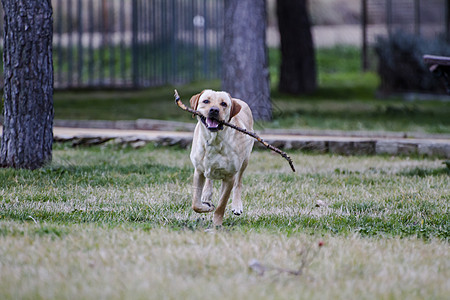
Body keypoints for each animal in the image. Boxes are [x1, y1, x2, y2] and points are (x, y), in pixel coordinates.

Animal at [189, 89, 255, 225]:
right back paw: (206, 194)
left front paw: (217, 224)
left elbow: (221, 204)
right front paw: (206, 206)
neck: (213, 141)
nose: (214, 110)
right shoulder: (198, 171)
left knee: (239, 182)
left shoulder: (230, 177)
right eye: (206, 101)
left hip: (245, 160)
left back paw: (237, 205)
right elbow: (195, 204)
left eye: (224, 104)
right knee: (209, 178)